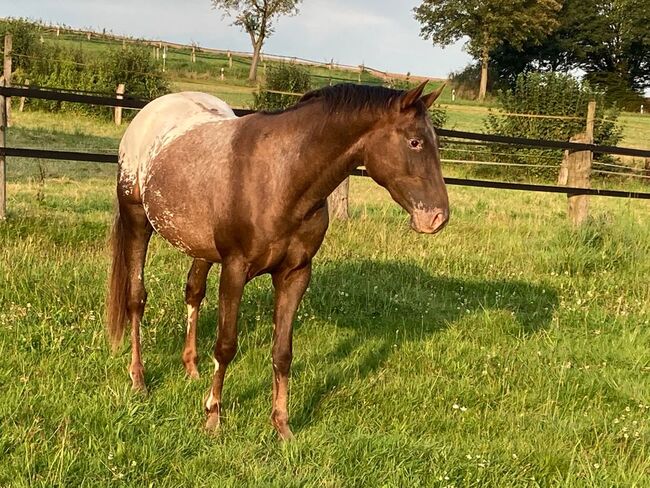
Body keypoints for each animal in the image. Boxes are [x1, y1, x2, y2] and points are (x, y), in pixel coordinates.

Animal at [109, 80, 448, 438]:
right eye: (414, 142)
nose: (438, 217)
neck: (281, 177)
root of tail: (151, 111)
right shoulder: (234, 270)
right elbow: (226, 346)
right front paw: (213, 416)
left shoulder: (295, 274)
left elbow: (283, 352)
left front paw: (282, 424)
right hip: (137, 221)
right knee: (136, 300)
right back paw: (138, 379)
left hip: (201, 248)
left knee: (193, 292)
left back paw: (191, 368)